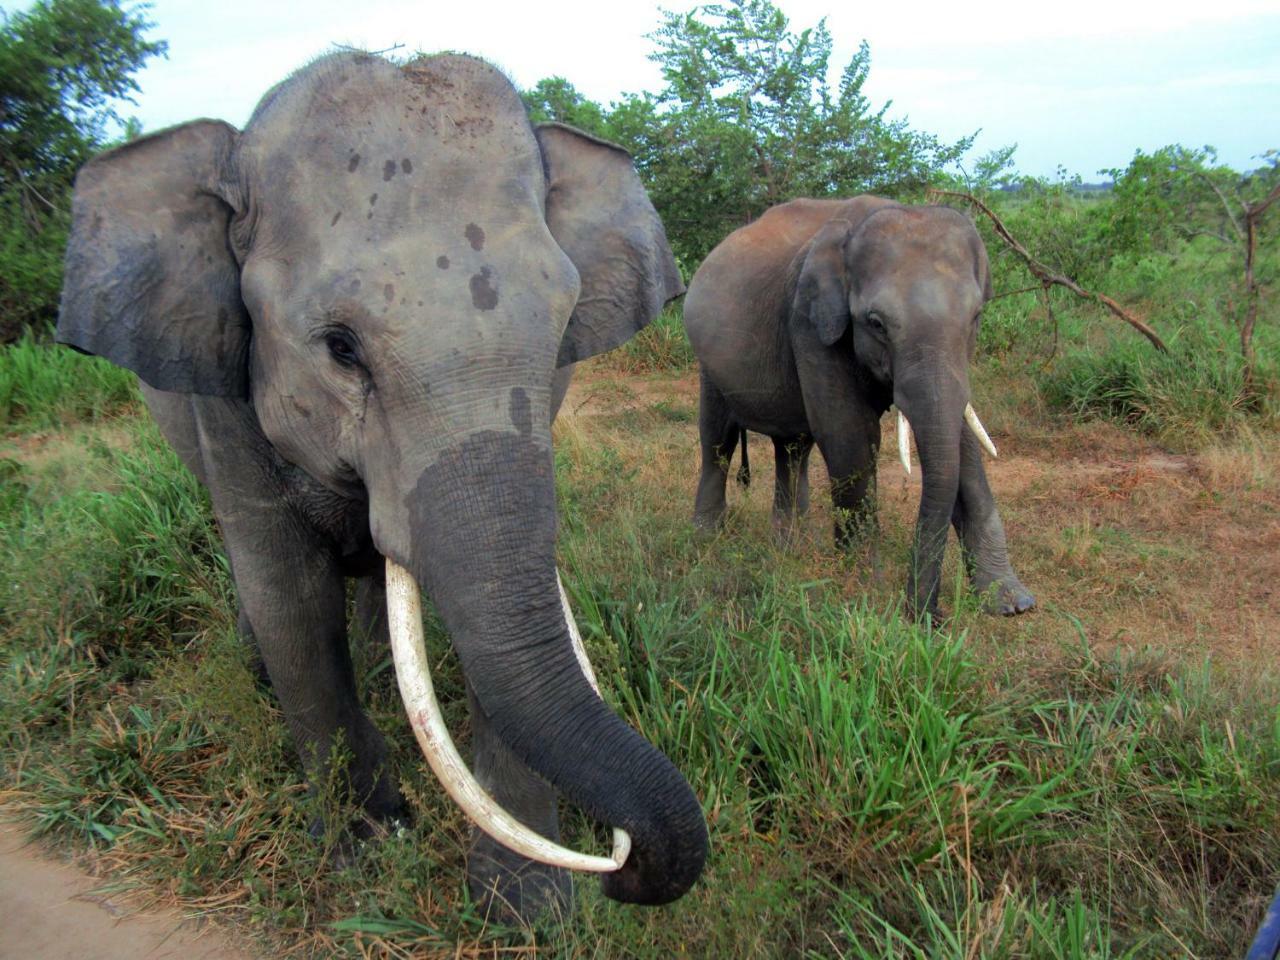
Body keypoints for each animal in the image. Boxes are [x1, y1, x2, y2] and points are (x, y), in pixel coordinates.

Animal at [55, 52, 706, 926]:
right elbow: (290, 599)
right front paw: (364, 852)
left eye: (562, 324)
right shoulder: (221, 394)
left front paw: (525, 912)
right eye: (340, 348)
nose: (620, 861)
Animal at [686, 195, 1034, 624]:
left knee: (792, 447)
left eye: (976, 317)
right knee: (718, 440)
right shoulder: (811, 322)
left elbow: (964, 446)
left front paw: (1012, 603)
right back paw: (707, 536)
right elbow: (848, 436)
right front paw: (866, 592)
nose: (930, 615)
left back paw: (790, 547)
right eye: (876, 323)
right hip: (710, 364)